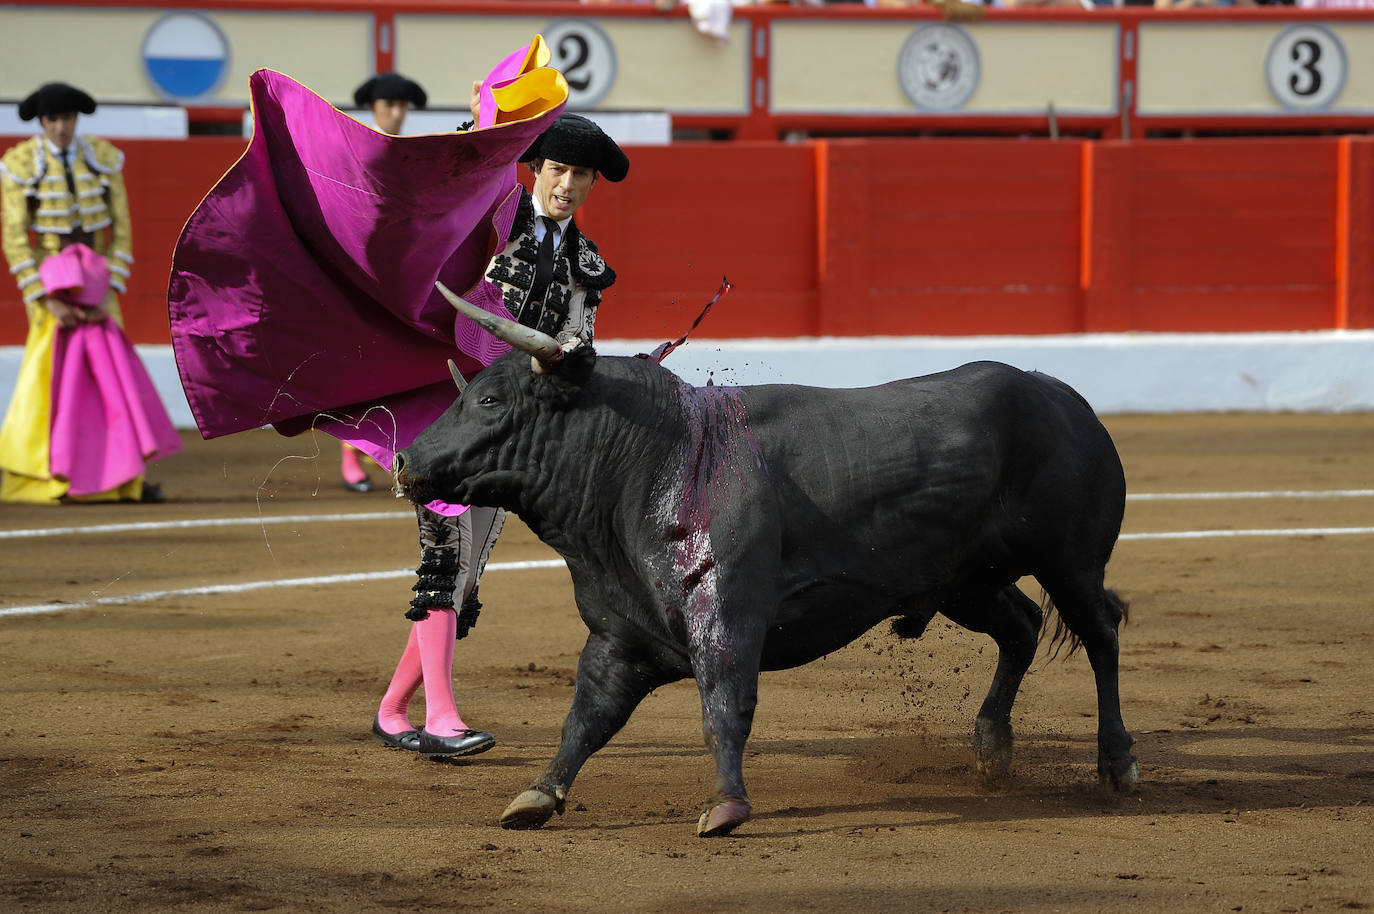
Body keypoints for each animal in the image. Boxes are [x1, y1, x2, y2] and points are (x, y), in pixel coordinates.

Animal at [395, 346, 1137, 835]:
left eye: (491, 400)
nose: (405, 460)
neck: (647, 461)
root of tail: (1061, 395)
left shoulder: (729, 618)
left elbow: (724, 708)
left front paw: (726, 807)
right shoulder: (621, 636)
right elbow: (586, 718)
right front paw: (539, 796)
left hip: (1070, 561)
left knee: (1100, 635)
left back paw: (1117, 763)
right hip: (965, 582)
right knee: (1022, 627)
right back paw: (990, 749)